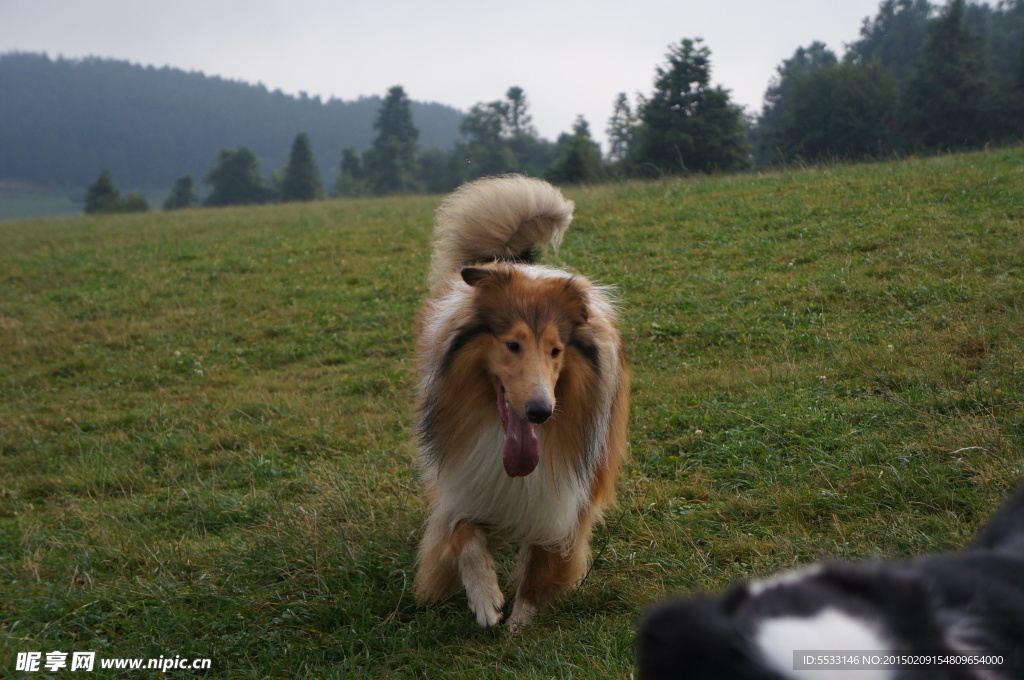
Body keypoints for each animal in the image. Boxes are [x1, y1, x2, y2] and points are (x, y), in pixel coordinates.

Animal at [411, 174, 626, 626]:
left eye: (556, 350)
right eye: (512, 345)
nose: (540, 412)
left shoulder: (565, 496)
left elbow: (543, 560)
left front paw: (520, 622)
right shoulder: (464, 481)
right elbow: (462, 532)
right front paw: (484, 598)